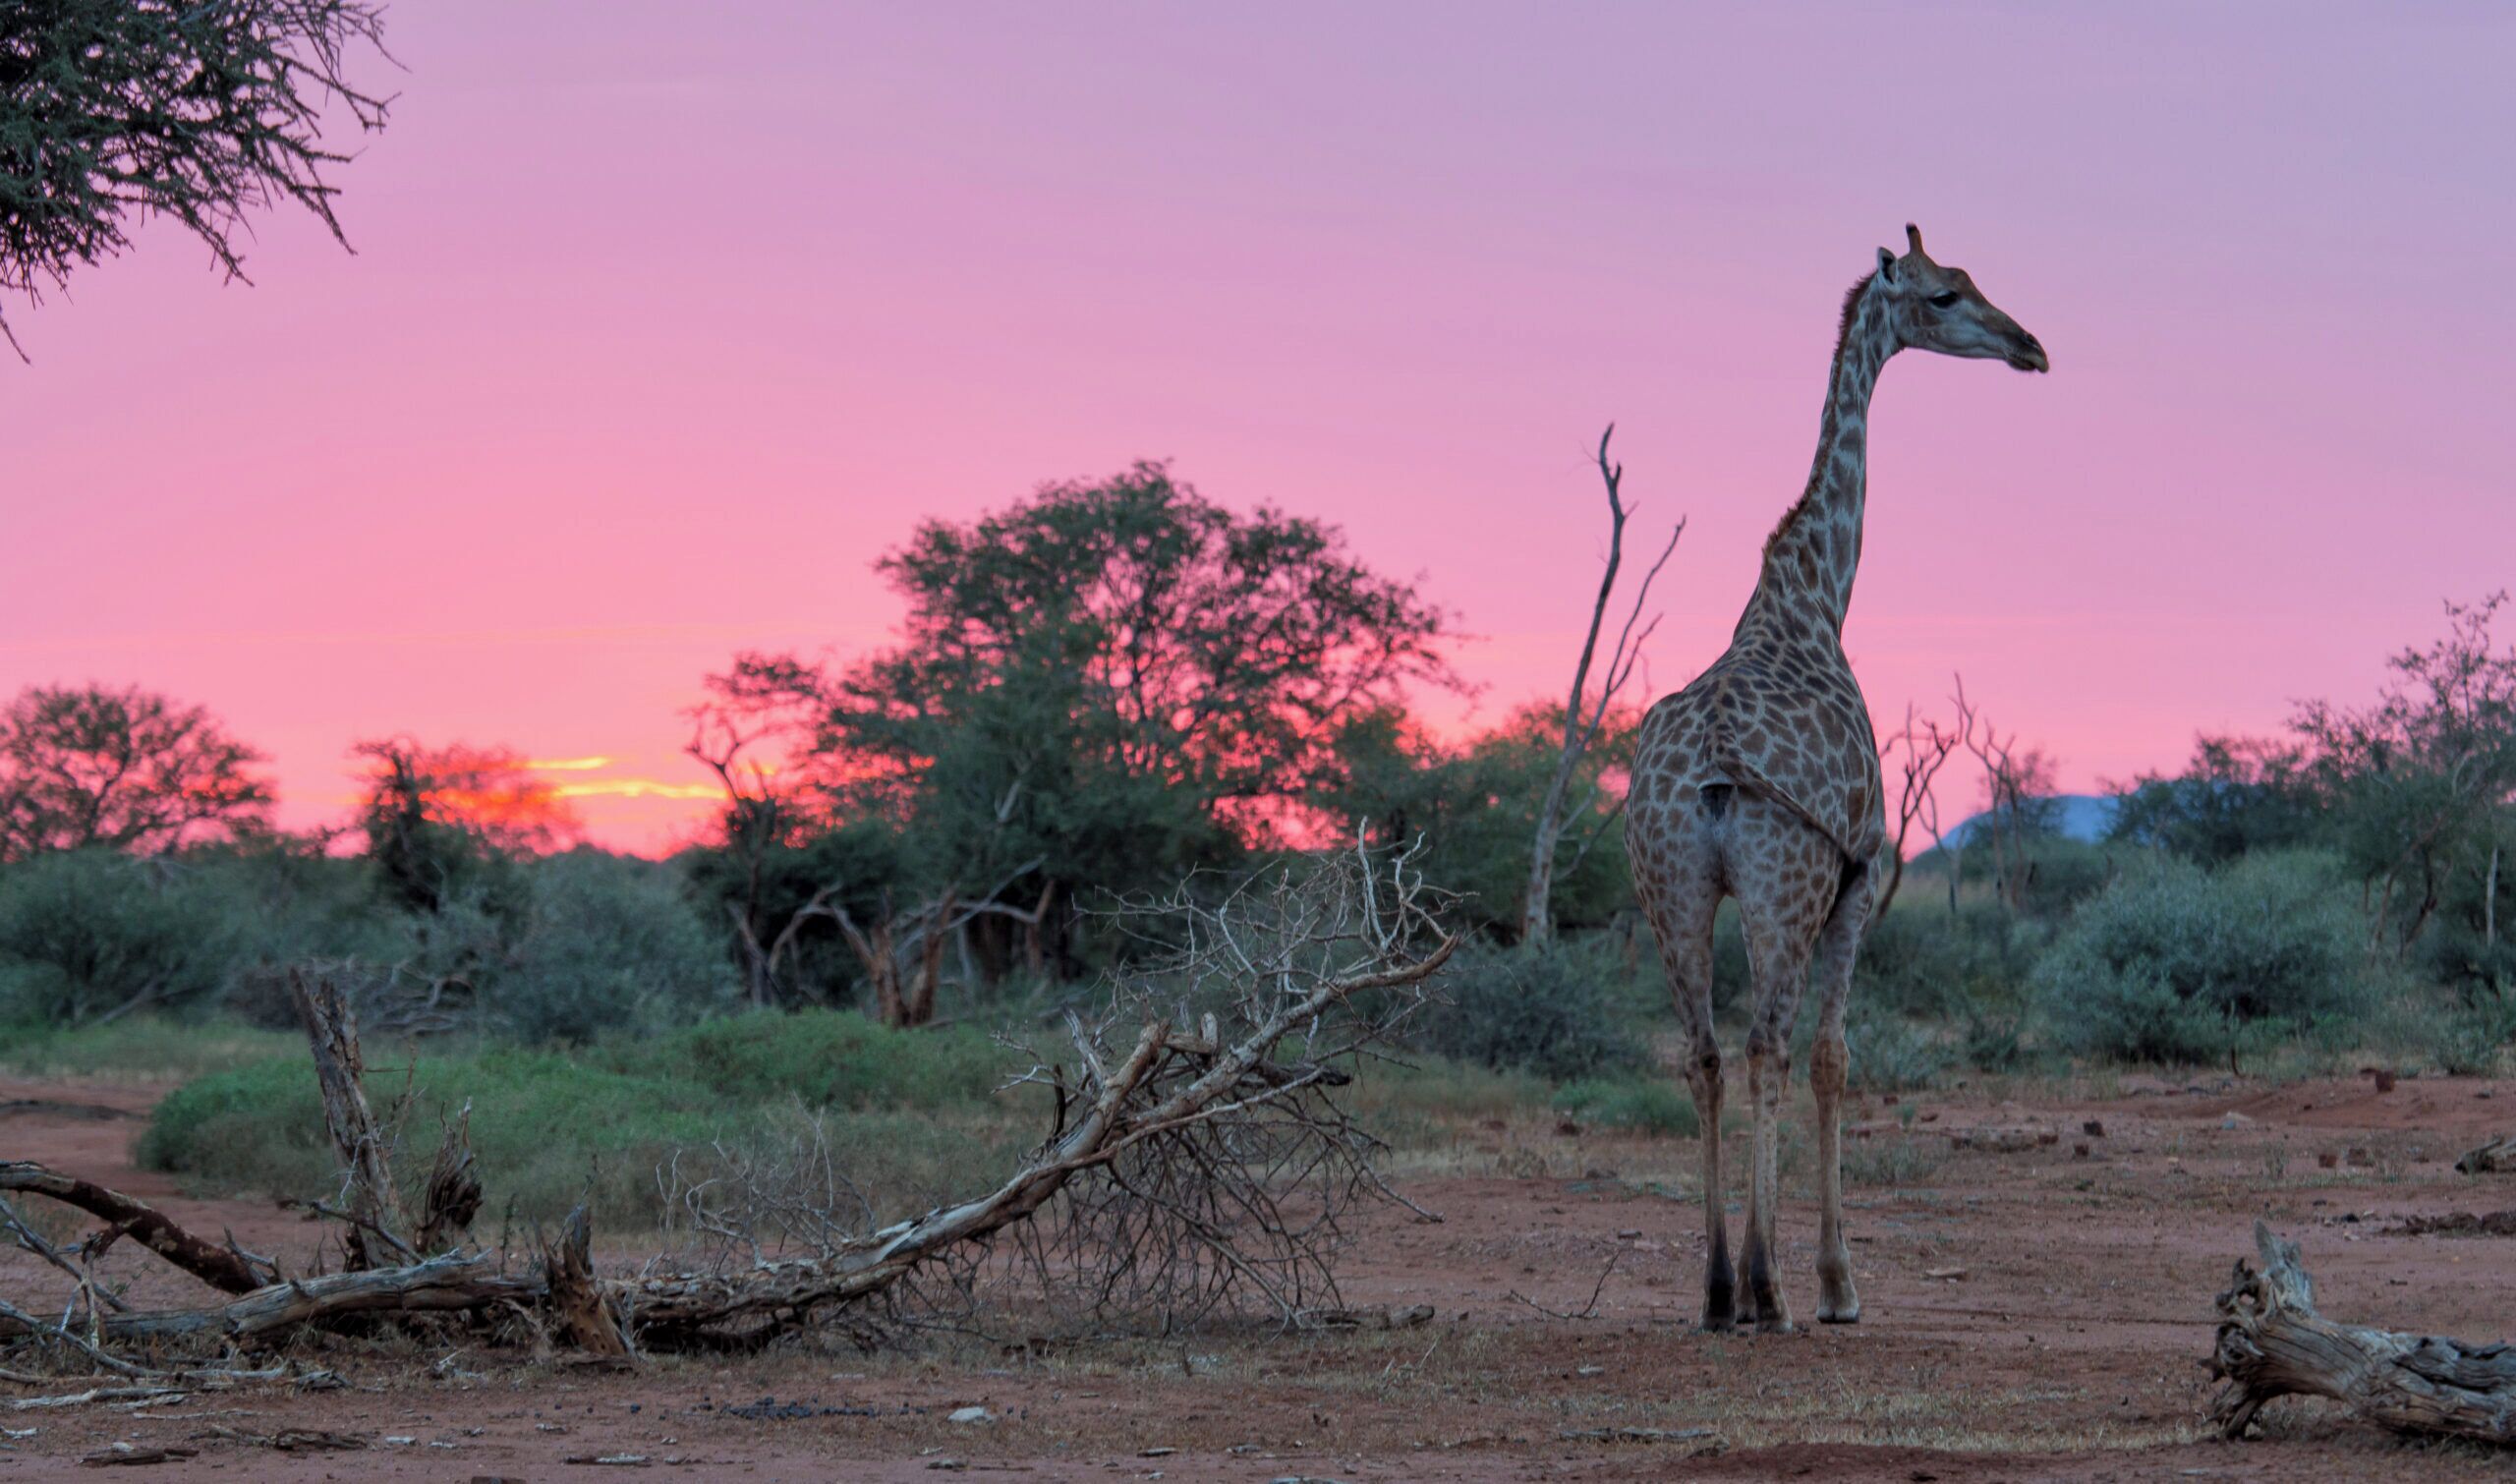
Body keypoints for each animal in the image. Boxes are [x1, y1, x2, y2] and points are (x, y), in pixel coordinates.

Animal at [1624, 224, 2046, 1333]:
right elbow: (1832, 1058)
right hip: (1787, 882)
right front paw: (1836, 1282)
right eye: (1945, 296)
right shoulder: (1858, 875)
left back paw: (1716, 1289)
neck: (1815, 597)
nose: (2030, 346)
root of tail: (1713, 778)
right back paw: (1766, 1289)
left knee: (1705, 1052)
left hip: (1671, 887)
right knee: (1767, 1045)